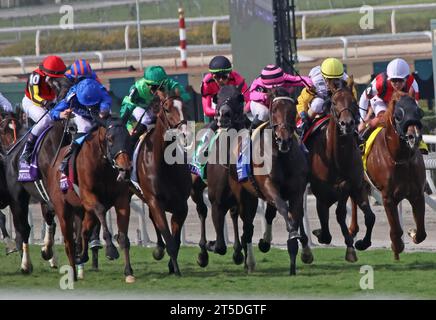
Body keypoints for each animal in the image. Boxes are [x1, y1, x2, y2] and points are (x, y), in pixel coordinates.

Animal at [46, 117, 134, 280]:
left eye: (128, 139)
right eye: (110, 139)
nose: (125, 169)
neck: (103, 167)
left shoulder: (122, 200)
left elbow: (123, 237)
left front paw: (128, 271)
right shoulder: (88, 197)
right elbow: (100, 210)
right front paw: (111, 249)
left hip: (83, 211)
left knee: (84, 231)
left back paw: (82, 256)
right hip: (63, 208)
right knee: (69, 242)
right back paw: (73, 272)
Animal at [133, 92, 191, 276]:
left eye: (184, 106)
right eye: (166, 109)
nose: (185, 134)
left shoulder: (181, 206)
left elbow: (175, 240)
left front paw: (172, 265)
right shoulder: (155, 200)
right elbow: (170, 239)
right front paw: (176, 270)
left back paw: (159, 248)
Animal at [227, 88, 308, 276]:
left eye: (293, 110)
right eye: (274, 109)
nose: (284, 139)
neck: (281, 154)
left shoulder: (296, 191)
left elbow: (294, 215)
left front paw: (293, 261)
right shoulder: (268, 186)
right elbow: (284, 209)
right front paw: (292, 233)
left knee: (267, 215)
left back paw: (263, 243)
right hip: (243, 193)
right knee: (247, 228)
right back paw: (249, 262)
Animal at [306, 83, 374, 262]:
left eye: (353, 102)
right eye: (334, 102)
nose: (347, 123)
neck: (336, 157)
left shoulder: (355, 185)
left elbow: (368, 216)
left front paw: (360, 243)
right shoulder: (321, 194)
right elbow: (328, 222)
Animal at [348, 95, 426, 260]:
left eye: (419, 112)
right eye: (398, 115)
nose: (414, 137)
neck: (400, 159)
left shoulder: (417, 194)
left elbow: (421, 233)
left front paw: (412, 232)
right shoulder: (388, 197)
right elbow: (396, 230)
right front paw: (396, 246)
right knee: (354, 202)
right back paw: (353, 231)